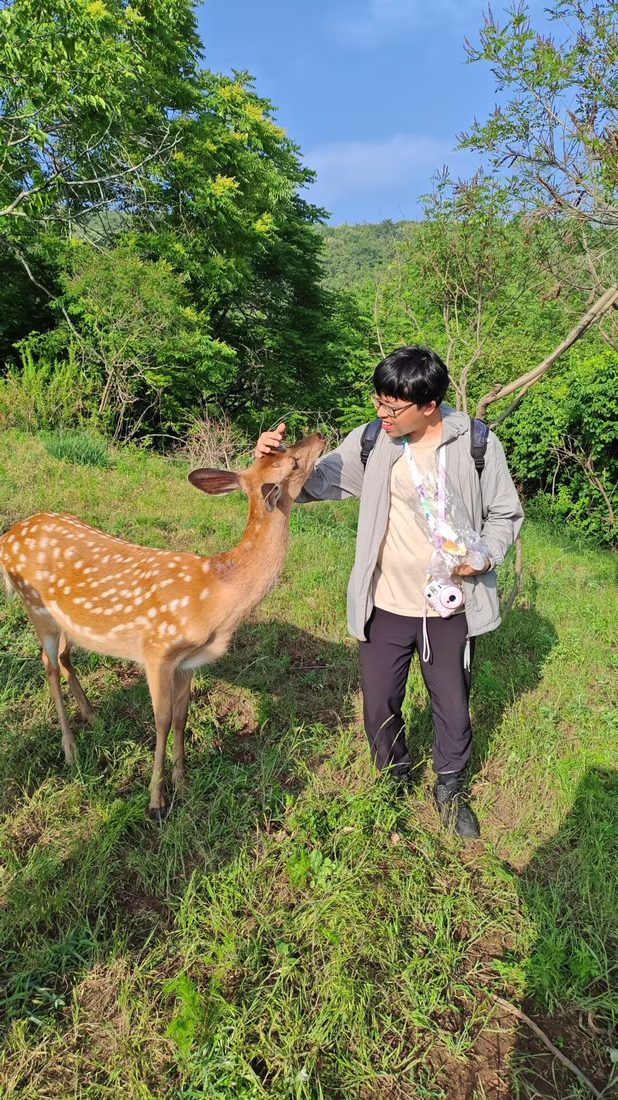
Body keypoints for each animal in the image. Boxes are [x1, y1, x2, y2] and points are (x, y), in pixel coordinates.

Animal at [0, 432, 325, 818]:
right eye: (293, 461)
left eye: (284, 448)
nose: (320, 435)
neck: (217, 595)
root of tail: (8, 537)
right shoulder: (158, 650)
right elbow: (163, 720)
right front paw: (156, 799)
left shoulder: (189, 662)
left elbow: (183, 718)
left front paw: (183, 784)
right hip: (36, 606)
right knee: (47, 664)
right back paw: (70, 749)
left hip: (67, 620)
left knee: (64, 657)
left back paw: (93, 716)